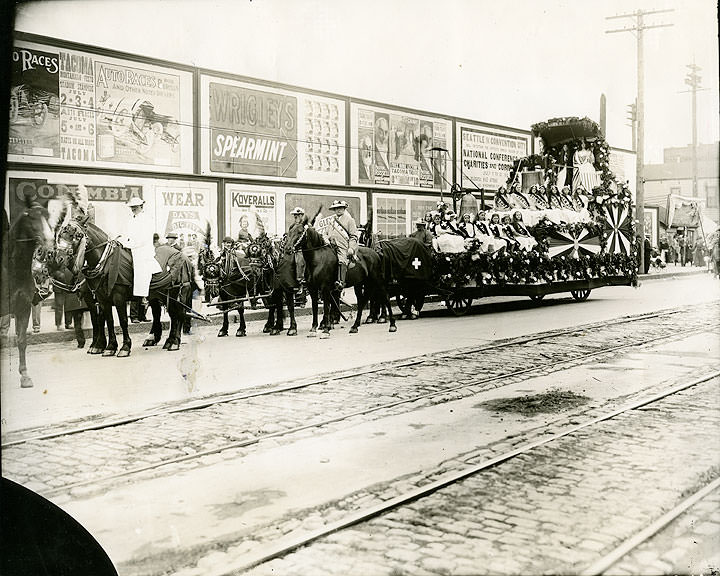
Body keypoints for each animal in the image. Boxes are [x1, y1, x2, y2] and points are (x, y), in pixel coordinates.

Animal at [2, 201, 54, 388]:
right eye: (31, 218)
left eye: (47, 216)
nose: (49, 243)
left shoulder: (23, 307)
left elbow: (22, 341)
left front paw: (24, 375)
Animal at [53, 220, 193, 356]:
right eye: (59, 236)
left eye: (76, 236)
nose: (59, 258)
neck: (106, 263)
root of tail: (183, 255)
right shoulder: (102, 300)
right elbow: (108, 321)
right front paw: (108, 347)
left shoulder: (118, 297)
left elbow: (122, 320)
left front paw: (124, 347)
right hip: (161, 295)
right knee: (169, 314)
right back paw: (165, 340)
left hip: (178, 292)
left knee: (180, 314)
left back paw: (175, 342)